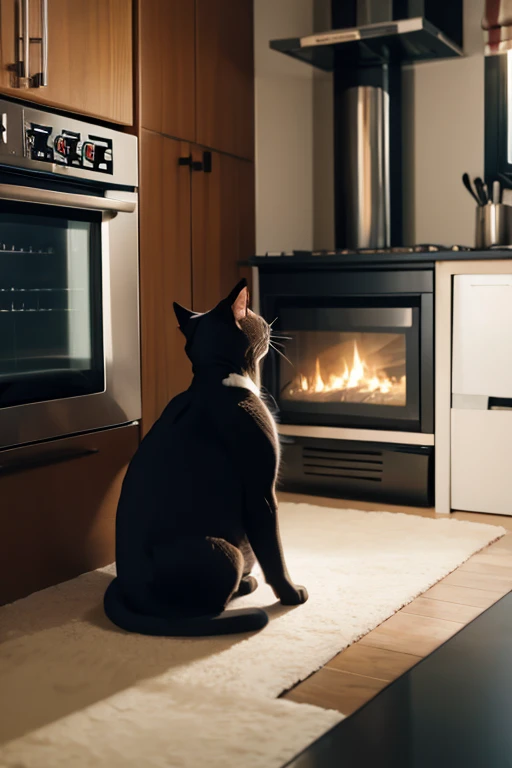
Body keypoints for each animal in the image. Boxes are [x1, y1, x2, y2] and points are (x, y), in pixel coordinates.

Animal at [102, 278, 306, 636]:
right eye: (254, 314)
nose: (269, 324)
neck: (216, 379)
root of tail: (131, 589)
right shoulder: (261, 493)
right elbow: (274, 552)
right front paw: (291, 595)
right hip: (226, 551)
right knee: (203, 609)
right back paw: (243, 595)